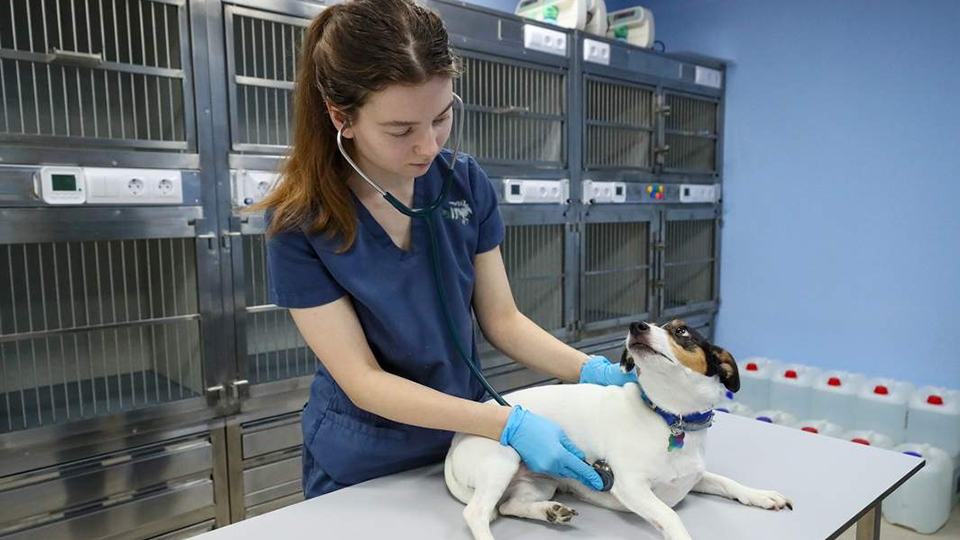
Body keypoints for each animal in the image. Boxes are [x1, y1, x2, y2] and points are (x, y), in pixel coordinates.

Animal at [444, 319, 793, 540]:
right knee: (477, 513)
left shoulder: (694, 476)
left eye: (681, 331)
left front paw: (761, 495)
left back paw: (549, 512)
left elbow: (727, 482)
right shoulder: (631, 486)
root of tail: (455, 441)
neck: (670, 417)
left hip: (541, 482)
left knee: (508, 505)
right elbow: (671, 515)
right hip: (502, 460)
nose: (637, 325)